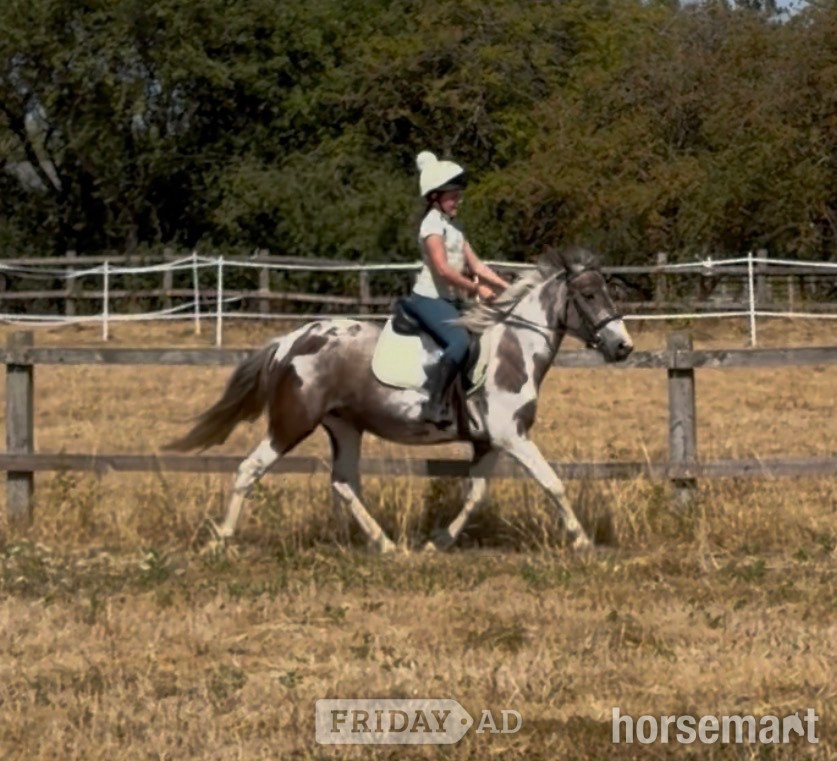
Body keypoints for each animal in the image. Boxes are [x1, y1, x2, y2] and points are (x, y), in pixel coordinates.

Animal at [164, 245, 633, 553]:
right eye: (588, 295)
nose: (623, 347)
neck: (513, 348)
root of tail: (289, 342)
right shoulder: (512, 437)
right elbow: (552, 483)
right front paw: (583, 542)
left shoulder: (489, 442)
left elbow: (475, 495)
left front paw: (437, 542)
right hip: (291, 424)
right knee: (250, 469)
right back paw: (219, 541)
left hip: (345, 426)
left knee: (344, 482)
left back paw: (387, 545)